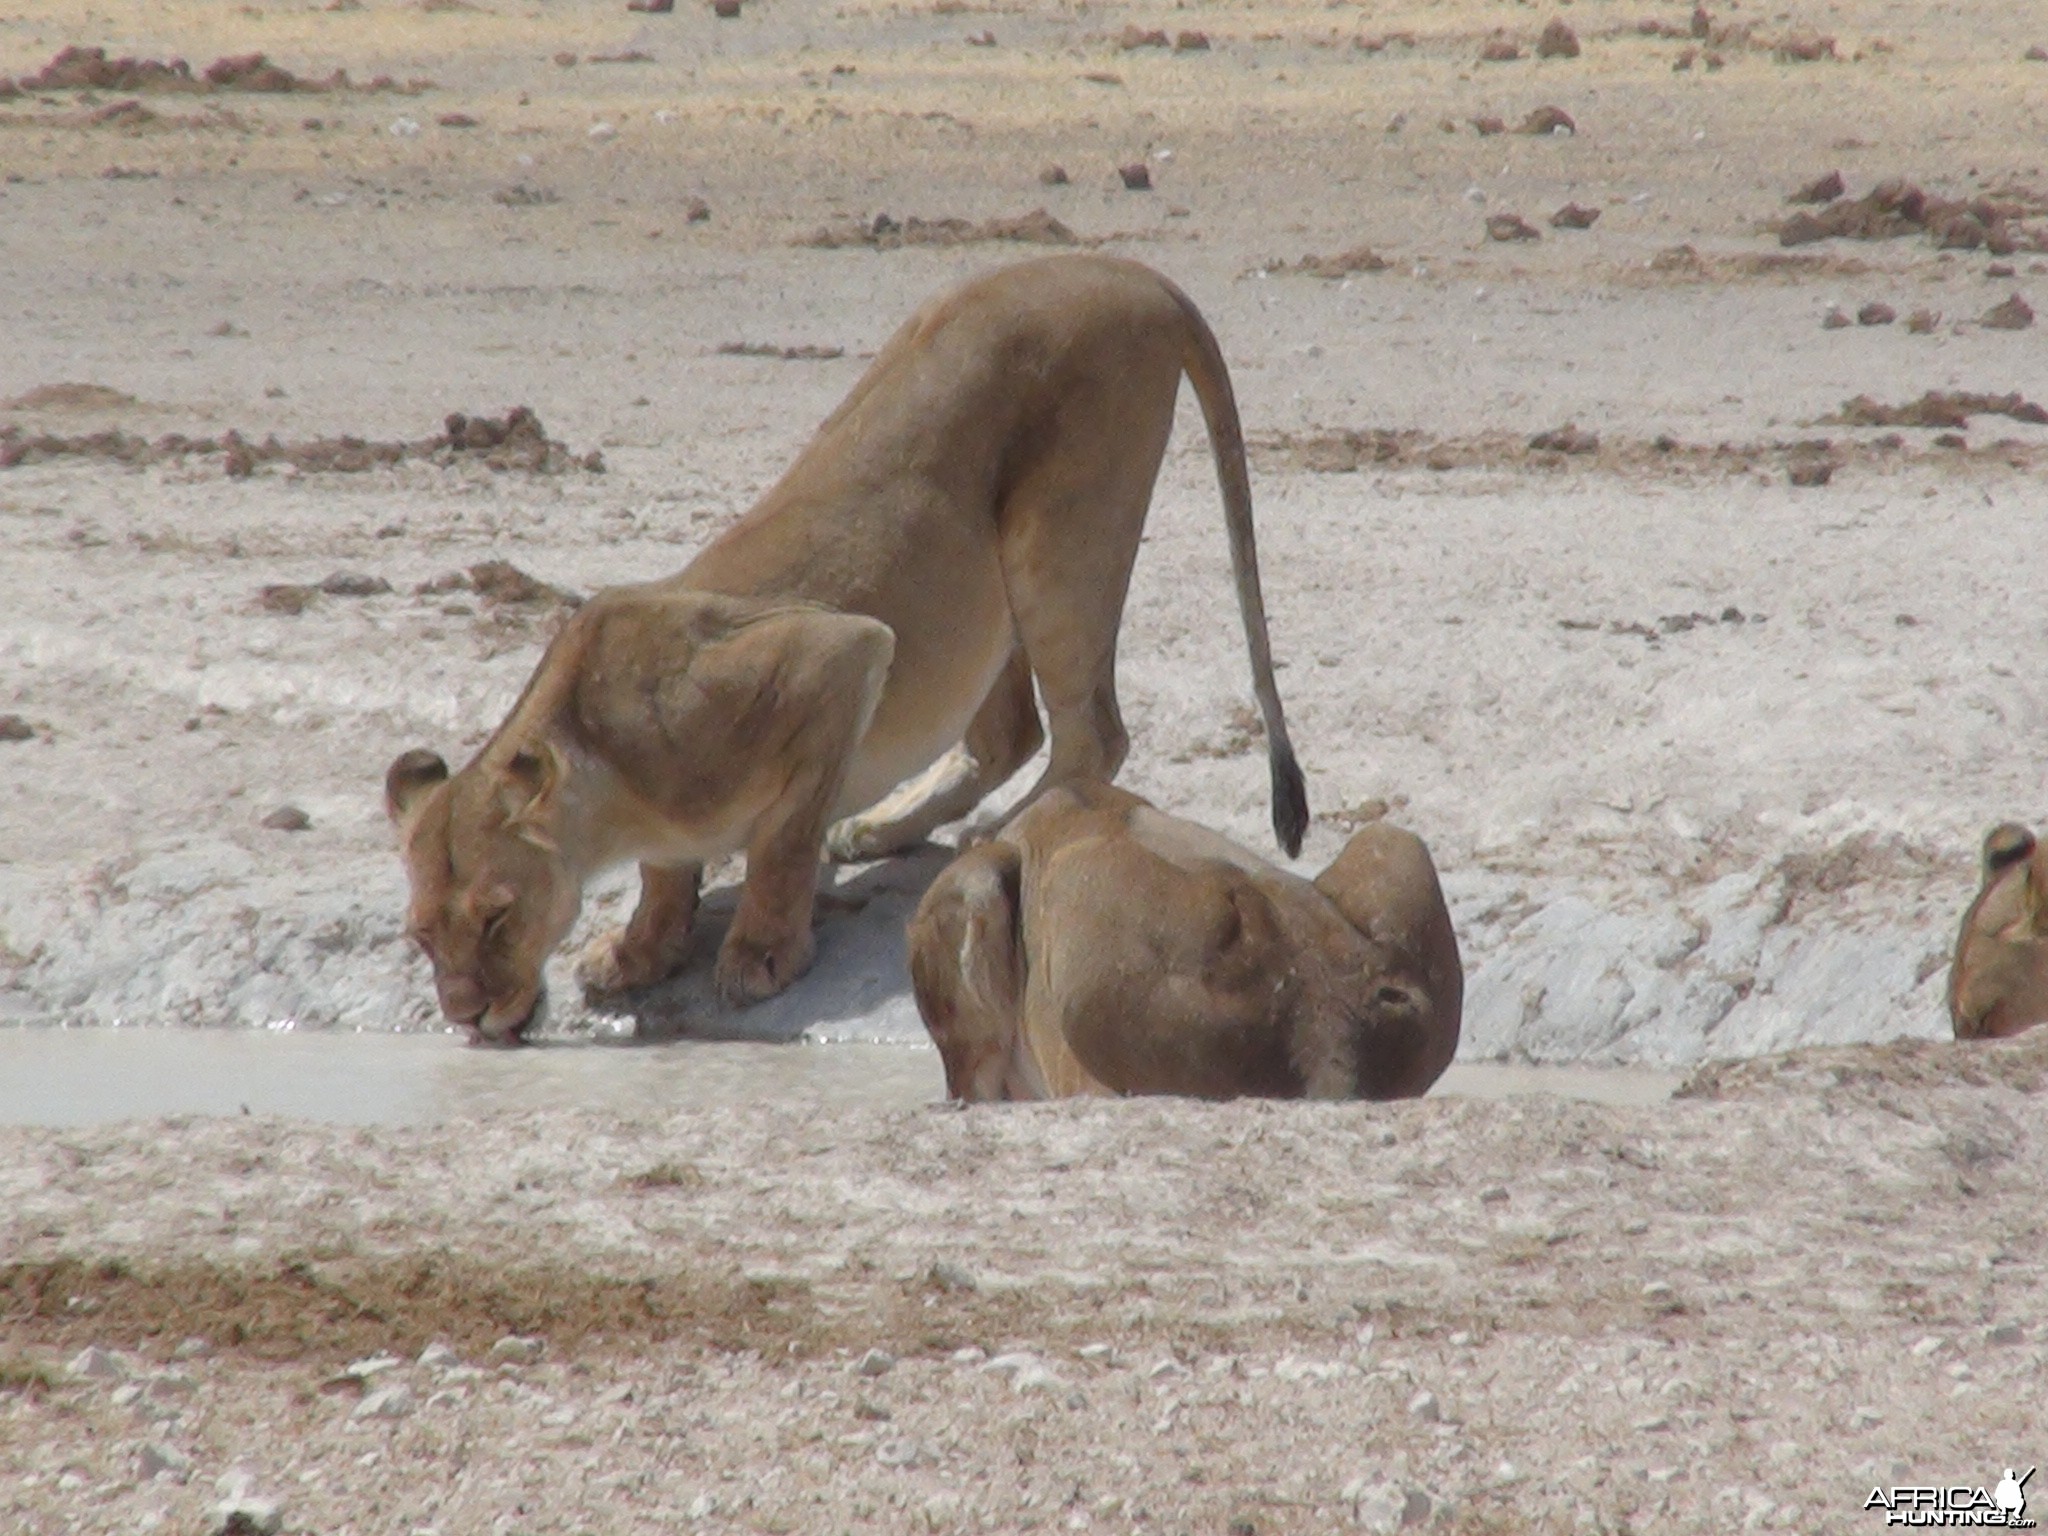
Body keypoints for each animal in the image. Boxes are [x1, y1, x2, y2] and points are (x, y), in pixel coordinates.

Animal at [382, 259, 1302, 1048]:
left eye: (498, 916)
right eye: (423, 934)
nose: (465, 1015)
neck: (608, 781)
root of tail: (1129, 270)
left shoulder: (836, 655)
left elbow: (783, 841)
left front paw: (759, 955)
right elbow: (666, 873)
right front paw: (641, 949)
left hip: (1058, 537)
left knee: (1093, 733)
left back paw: (995, 834)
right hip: (983, 590)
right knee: (1010, 731)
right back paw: (885, 826)